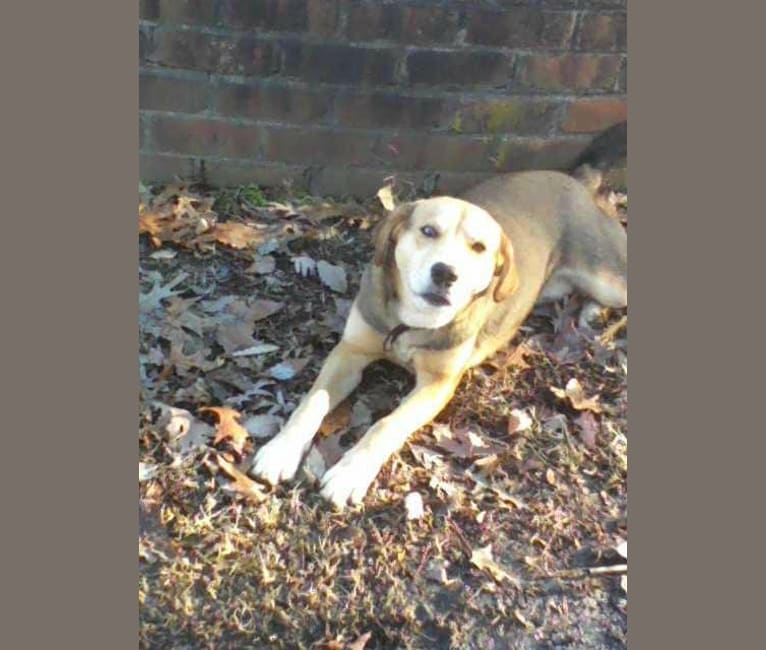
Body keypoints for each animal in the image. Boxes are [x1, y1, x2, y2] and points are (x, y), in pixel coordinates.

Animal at [252, 123, 632, 506]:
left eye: (479, 247)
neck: (412, 322)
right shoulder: (351, 351)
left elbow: (386, 425)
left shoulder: (437, 384)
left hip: (606, 278)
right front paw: (281, 450)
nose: (446, 273)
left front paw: (350, 473)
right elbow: (312, 402)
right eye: (429, 231)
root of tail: (577, 181)